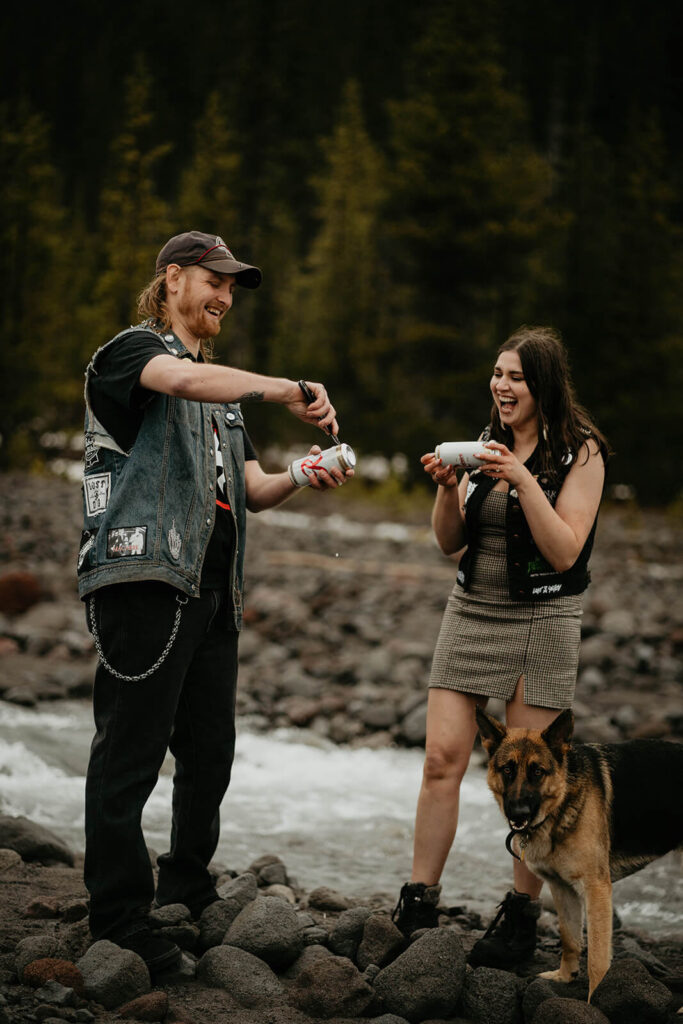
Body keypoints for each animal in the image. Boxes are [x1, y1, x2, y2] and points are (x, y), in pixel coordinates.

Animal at [475, 708, 683, 995]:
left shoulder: (596, 889)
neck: (562, 800)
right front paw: (565, 976)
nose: (517, 814)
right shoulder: (563, 889)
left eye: (537, 771)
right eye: (507, 769)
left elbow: (597, 957)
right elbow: (570, 938)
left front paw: (596, 998)